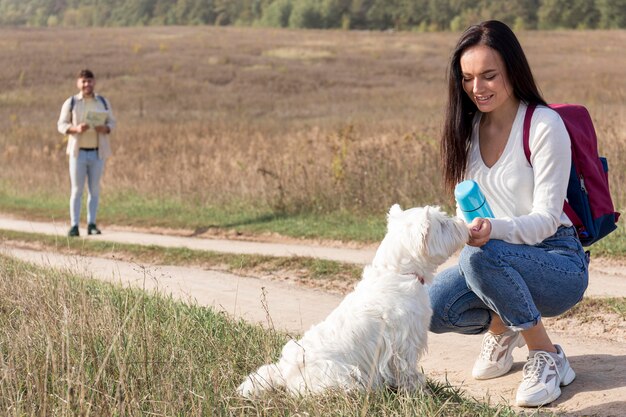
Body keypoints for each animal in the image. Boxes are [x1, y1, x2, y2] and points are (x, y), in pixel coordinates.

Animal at [236, 204, 466, 396]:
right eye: (443, 223)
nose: (463, 223)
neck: (398, 271)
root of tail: (283, 372)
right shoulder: (404, 343)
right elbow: (408, 372)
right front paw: (421, 393)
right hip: (343, 374)